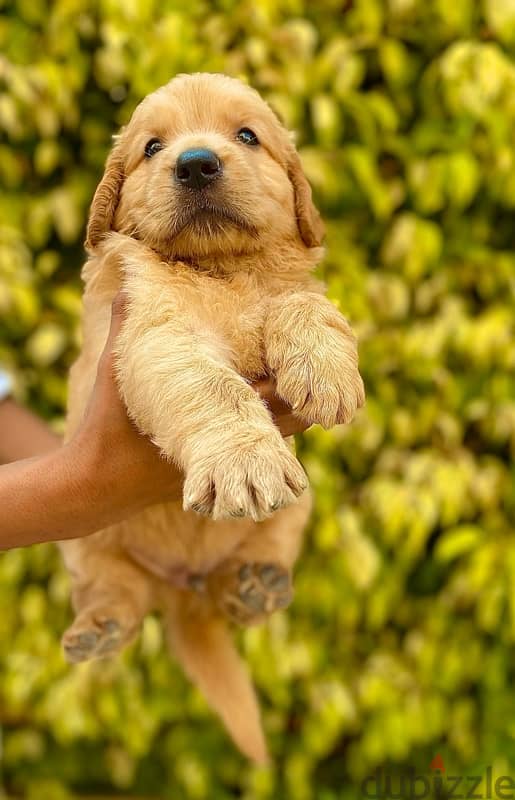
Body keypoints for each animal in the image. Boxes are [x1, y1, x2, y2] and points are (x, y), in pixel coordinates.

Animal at [61, 73, 366, 764]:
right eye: (152, 147)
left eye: (247, 135)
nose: (196, 163)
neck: (222, 268)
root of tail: (186, 589)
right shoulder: (155, 333)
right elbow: (213, 386)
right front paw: (245, 460)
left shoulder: (282, 291)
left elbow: (301, 304)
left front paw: (326, 366)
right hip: (85, 539)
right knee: (115, 587)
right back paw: (101, 626)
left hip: (298, 508)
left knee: (257, 556)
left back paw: (252, 586)